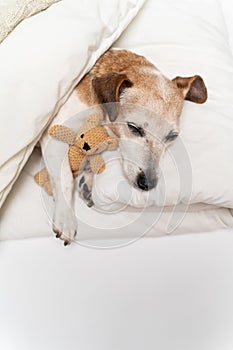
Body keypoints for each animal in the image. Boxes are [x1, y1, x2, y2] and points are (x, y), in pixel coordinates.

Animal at [40, 49, 208, 245]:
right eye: (134, 127)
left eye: (172, 136)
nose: (148, 184)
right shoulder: (54, 135)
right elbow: (65, 176)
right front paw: (66, 217)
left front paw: (87, 181)